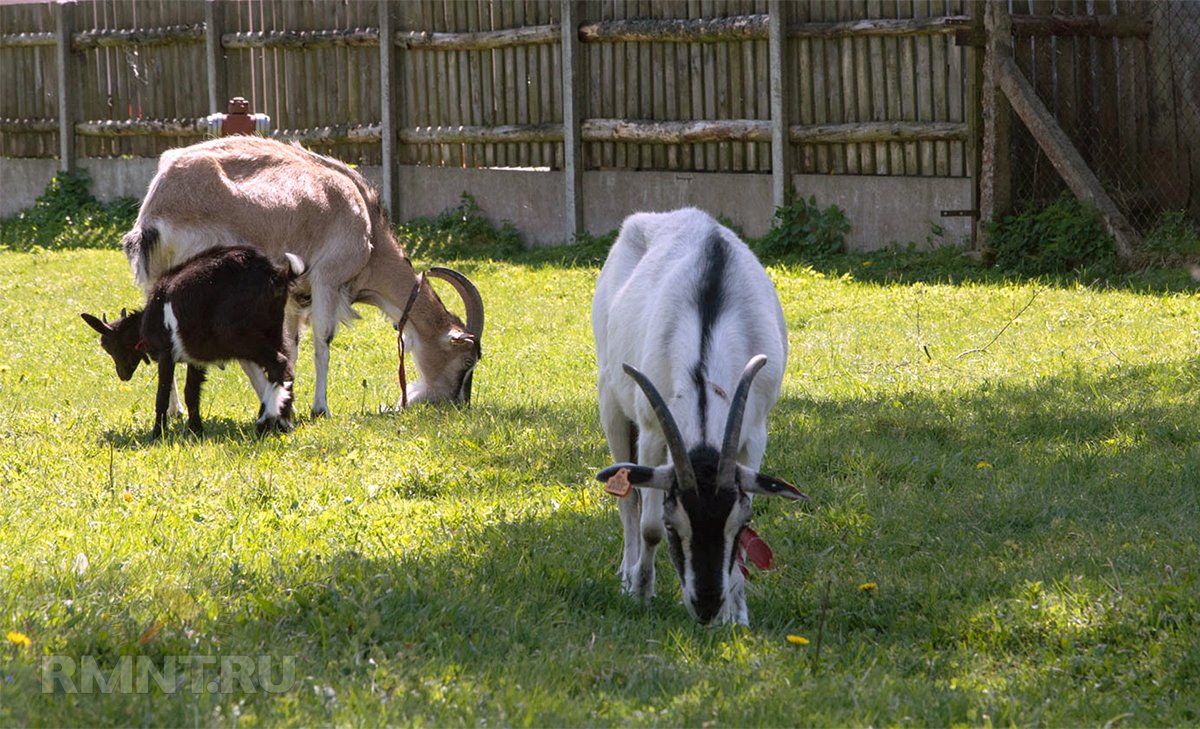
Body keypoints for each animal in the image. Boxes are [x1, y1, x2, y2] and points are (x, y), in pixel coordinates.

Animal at [83, 244, 304, 438]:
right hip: (275, 330)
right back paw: (283, 423)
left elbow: (162, 395)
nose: (122, 375)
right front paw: (196, 430)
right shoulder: (196, 358)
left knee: (278, 363)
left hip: (239, 335)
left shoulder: (166, 353)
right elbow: (191, 393)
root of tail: (276, 275)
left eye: (108, 345)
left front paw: (157, 434)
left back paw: (264, 421)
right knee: (287, 369)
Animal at [119, 135, 480, 414]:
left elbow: (291, 346)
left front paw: (290, 392)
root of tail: (159, 205)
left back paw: (176, 410)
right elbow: (323, 341)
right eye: (467, 362)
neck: (367, 225)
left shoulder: (294, 297)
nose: (454, 403)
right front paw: (320, 408)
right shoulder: (326, 280)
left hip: (159, 282)